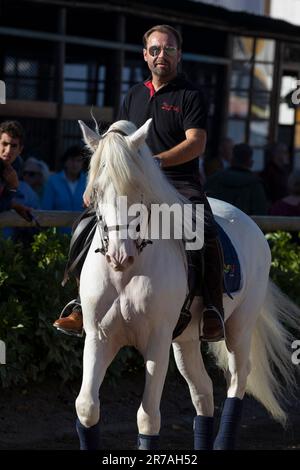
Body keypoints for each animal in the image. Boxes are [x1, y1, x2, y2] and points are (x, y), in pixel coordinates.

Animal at [74, 119, 298, 450]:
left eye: (138, 189)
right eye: (97, 191)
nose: (119, 255)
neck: (127, 274)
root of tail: (250, 222)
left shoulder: (157, 340)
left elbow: (148, 417)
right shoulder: (99, 336)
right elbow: (87, 407)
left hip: (239, 327)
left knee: (237, 379)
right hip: (186, 339)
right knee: (202, 390)